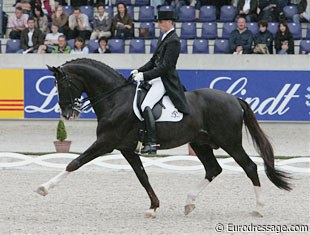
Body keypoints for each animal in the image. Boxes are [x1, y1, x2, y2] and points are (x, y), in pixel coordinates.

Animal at [36, 57, 290, 218]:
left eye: (63, 84)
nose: (67, 114)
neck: (116, 99)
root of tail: (234, 99)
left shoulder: (106, 143)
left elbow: (74, 162)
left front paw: (44, 188)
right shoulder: (126, 148)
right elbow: (142, 177)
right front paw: (153, 207)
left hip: (229, 142)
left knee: (249, 167)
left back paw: (258, 208)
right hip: (200, 143)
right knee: (213, 169)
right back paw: (189, 203)